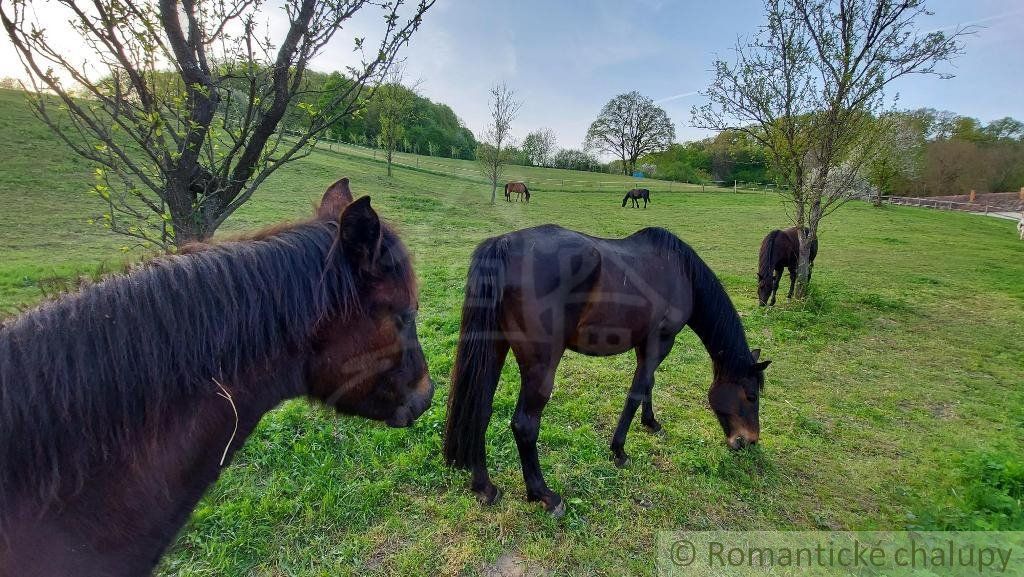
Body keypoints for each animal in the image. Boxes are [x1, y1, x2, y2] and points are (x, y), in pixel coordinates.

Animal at [440, 224, 770, 514]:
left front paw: (651, 422)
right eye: (751, 396)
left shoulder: (645, 343)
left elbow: (648, 384)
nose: (749, 441)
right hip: (540, 367)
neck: (681, 271)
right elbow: (636, 391)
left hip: (495, 349)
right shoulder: (662, 340)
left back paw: (485, 488)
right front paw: (619, 450)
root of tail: (504, 245)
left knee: (480, 410)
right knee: (524, 425)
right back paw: (544, 495)